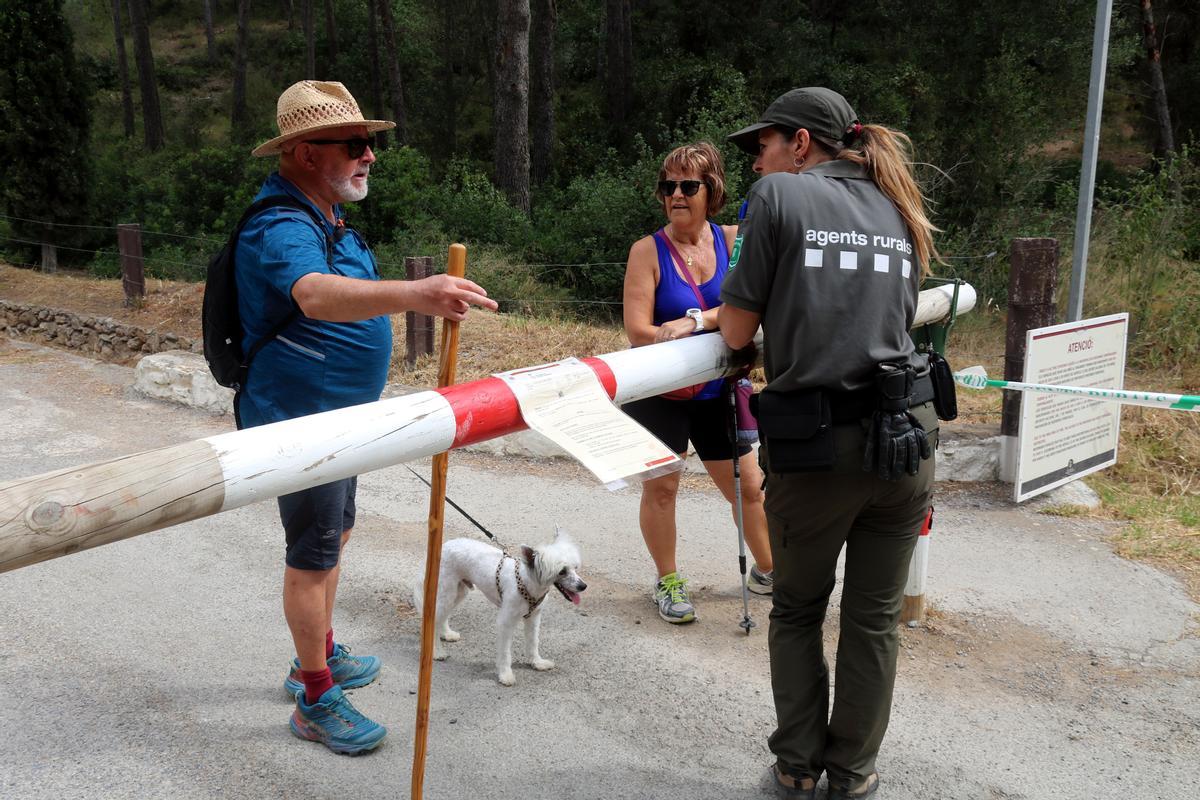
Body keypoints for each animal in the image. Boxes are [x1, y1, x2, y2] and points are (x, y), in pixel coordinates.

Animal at [417, 527, 585, 686]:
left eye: (575, 567)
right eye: (562, 571)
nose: (583, 586)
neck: (527, 583)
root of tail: (445, 545)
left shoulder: (534, 618)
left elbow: (533, 642)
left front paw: (537, 663)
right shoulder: (506, 622)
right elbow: (505, 652)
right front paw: (505, 675)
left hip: (459, 592)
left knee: (443, 616)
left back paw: (446, 633)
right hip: (448, 591)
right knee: (435, 620)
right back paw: (436, 651)